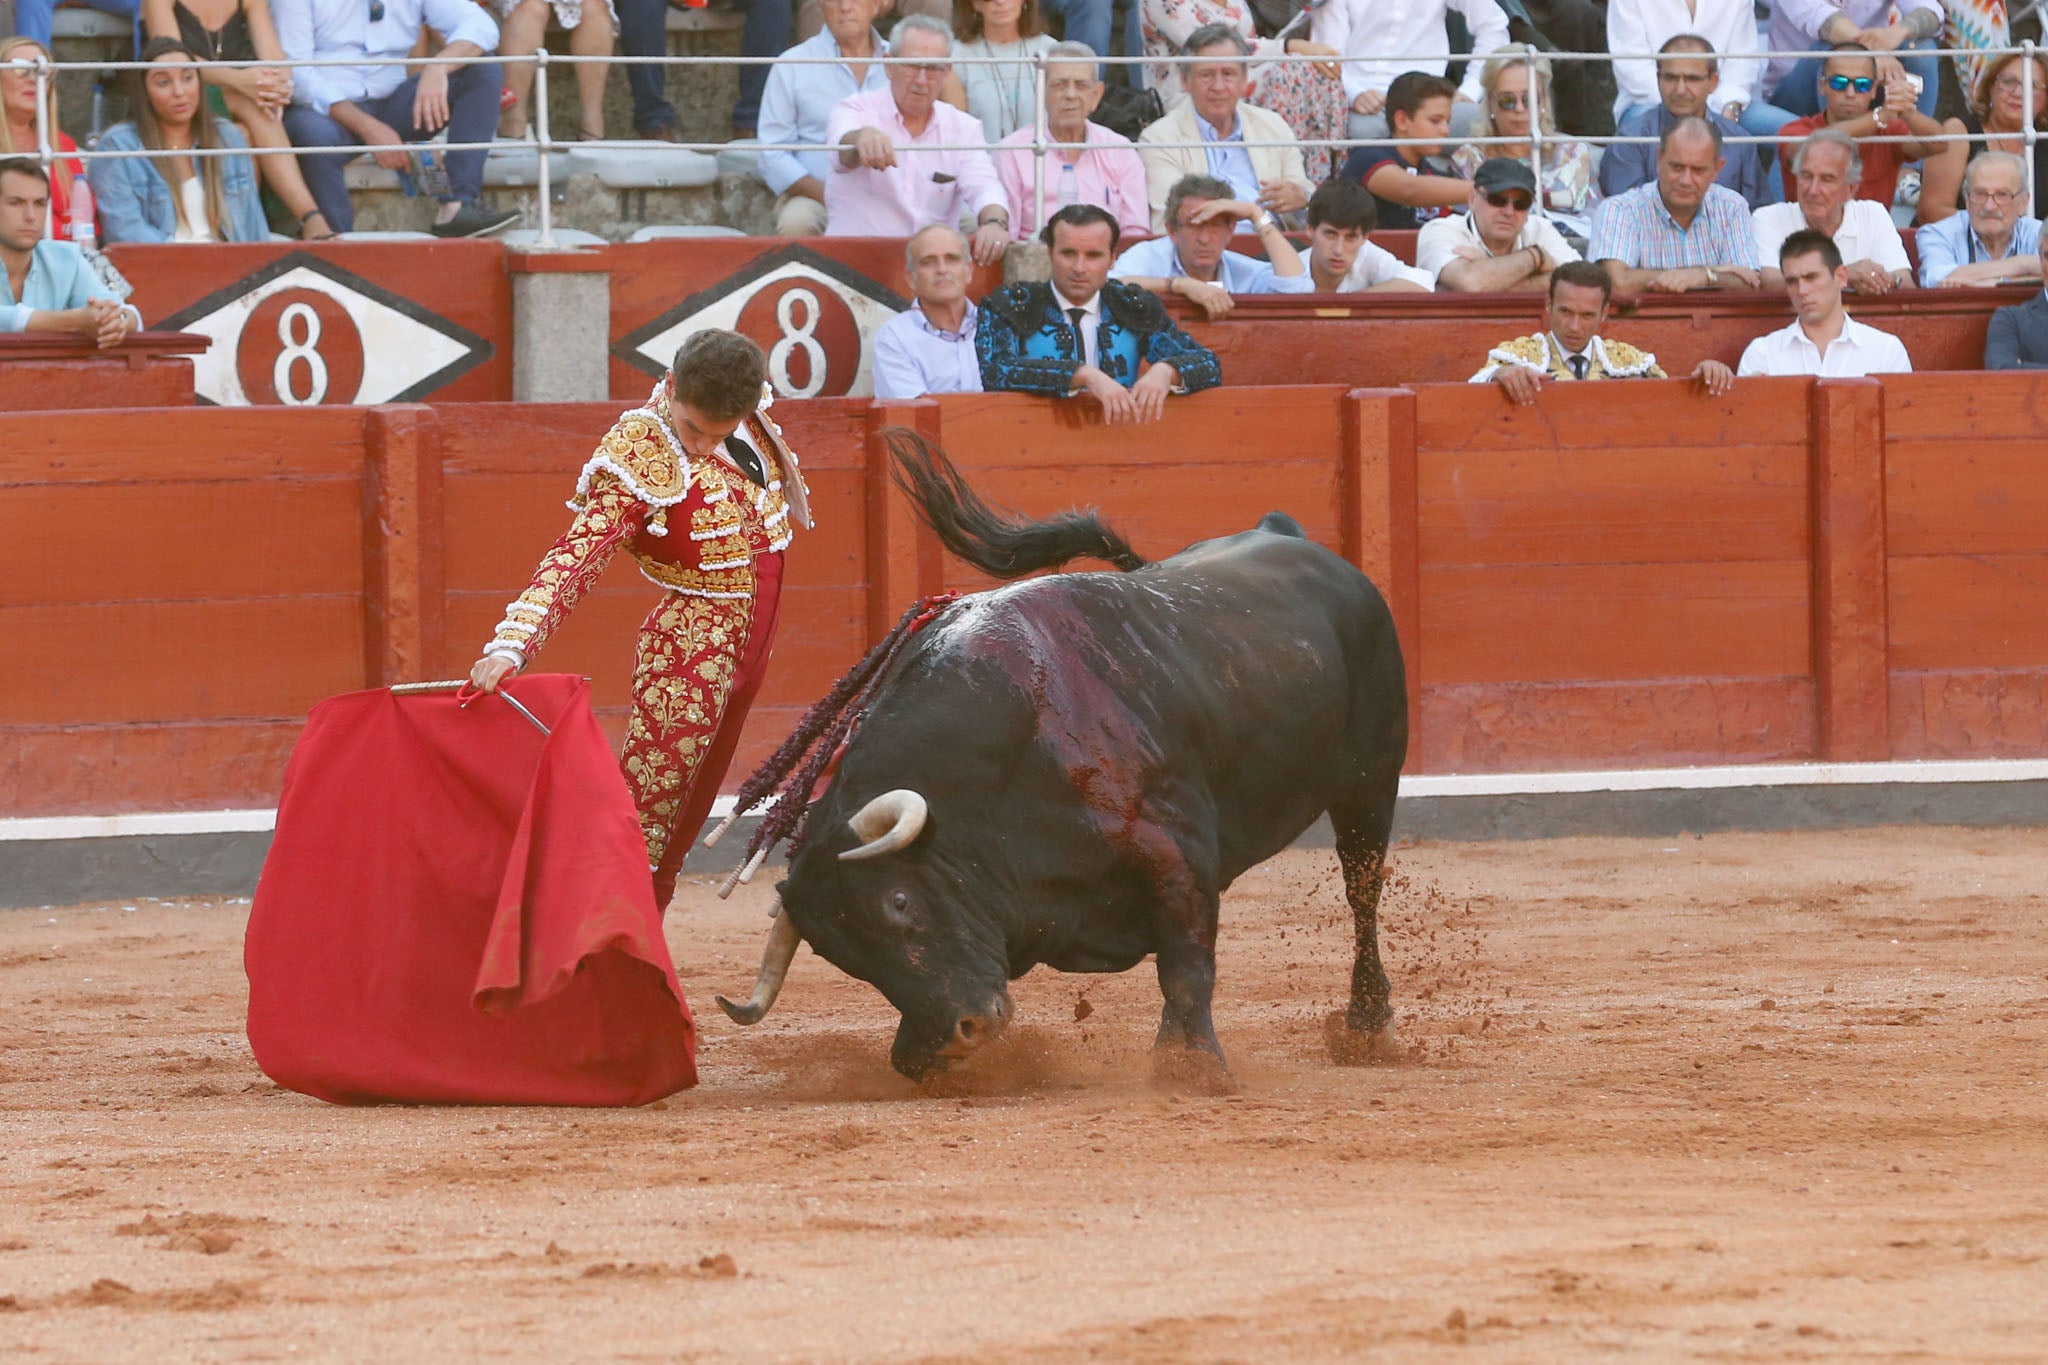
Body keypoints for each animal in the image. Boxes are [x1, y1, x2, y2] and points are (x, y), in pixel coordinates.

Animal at [720, 431, 1409, 1080]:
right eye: (846, 957)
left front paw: (1195, 1070)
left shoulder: (1179, 858)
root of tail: (1284, 533)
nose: (954, 1035)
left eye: (899, 903)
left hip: (1371, 783)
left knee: (1363, 892)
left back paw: (1367, 1027)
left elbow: (1186, 968)